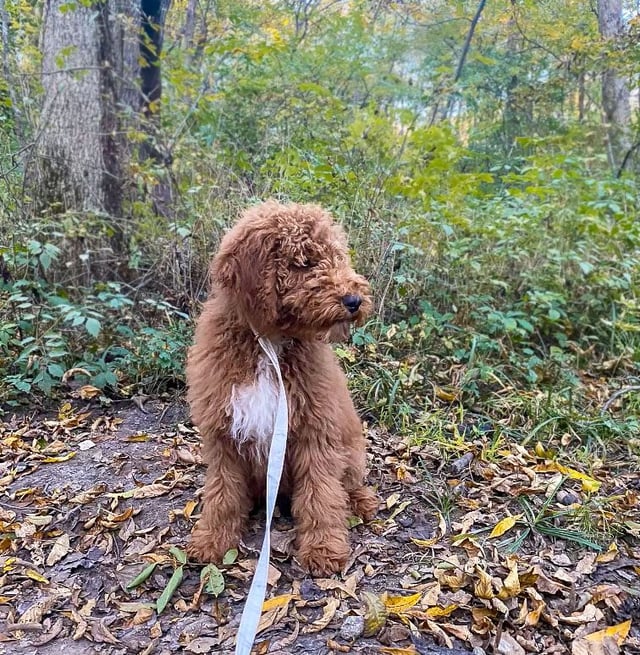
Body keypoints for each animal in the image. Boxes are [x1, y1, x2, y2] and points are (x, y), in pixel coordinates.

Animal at [185, 200, 378, 576]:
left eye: (337, 256)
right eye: (304, 262)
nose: (354, 300)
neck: (269, 345)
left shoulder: (316, 432)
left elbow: (322, 494)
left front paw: (323, 548)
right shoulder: (223, 434)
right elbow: (222, 493)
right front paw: (213, 539)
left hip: (351, 449)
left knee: (348, 484)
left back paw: (361, 501)